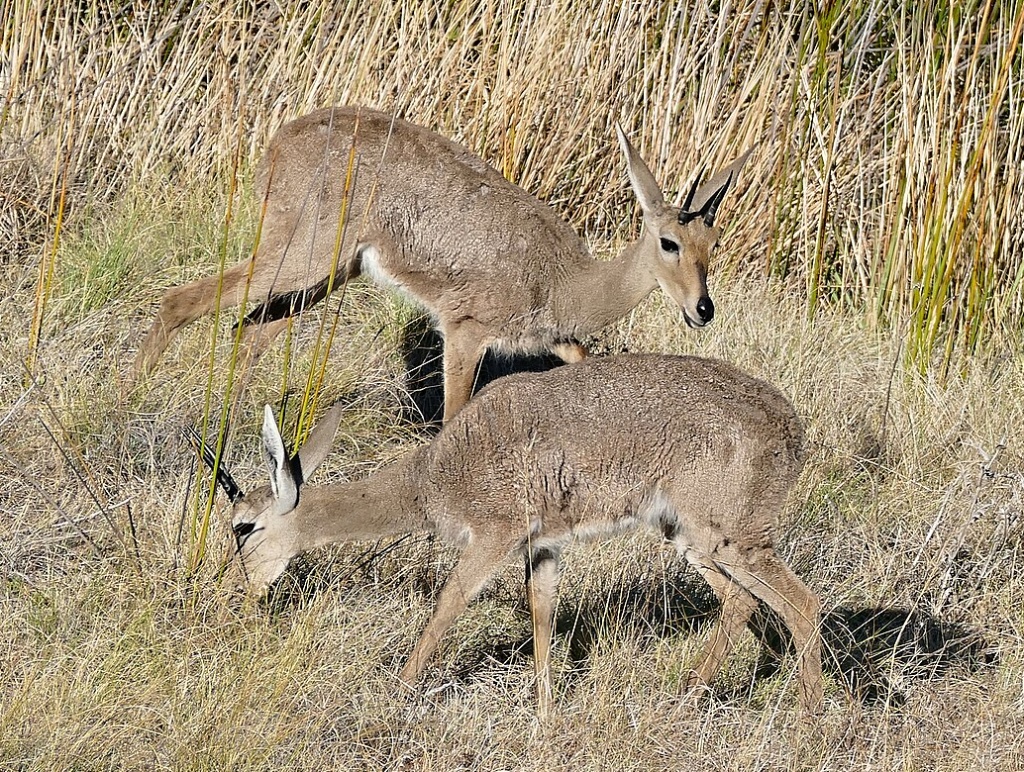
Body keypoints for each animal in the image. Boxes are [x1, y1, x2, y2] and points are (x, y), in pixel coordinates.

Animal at [136, 105, 749, 421]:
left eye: (712, 242)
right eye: (669, 242)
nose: (703, 309)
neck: (567, 282)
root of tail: (277, 141)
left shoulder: (556, 343)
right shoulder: (464, 329)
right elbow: (454, 419)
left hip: (326, 273)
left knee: (247, 328)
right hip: (300, 259)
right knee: (182, 299)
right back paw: (134, 393)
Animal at [207, 354, 823, 716]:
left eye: (243, 526)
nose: (230, 592)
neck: (432, 477)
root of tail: (795, 430)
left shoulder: (494, 537)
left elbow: (448, 603)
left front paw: (398, 688)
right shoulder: (543, 546)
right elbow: (542, 613)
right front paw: (546, 712)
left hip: (728, 538)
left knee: (801, 602)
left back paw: (807, 718)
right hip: (689, 536)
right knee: (745, 603)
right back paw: (687, 695)